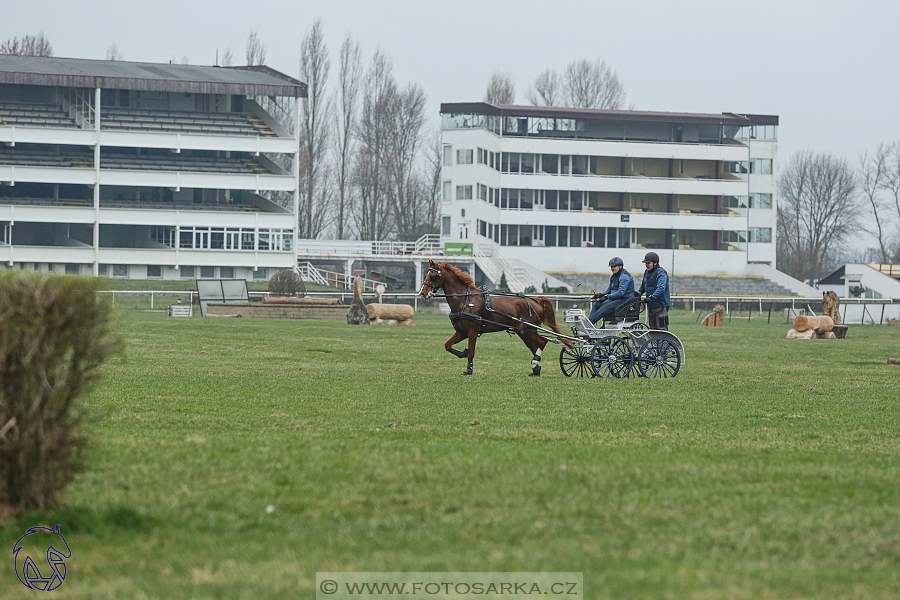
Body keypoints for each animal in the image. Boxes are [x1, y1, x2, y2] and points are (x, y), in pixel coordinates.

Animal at [420, 258, 568, 376]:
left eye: (433, 276)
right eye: (426, 274)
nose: (422, 293)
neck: (466, 300)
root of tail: (535, 301)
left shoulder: (472, 331)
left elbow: (471, 351)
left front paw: (469, 370)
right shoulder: (461, 332)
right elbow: (447, 345)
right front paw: (462, 353)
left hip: (527, 330)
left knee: (542, 342)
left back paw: (536, 364)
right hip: (523, 332)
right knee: (536, 345)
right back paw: (535, 367)